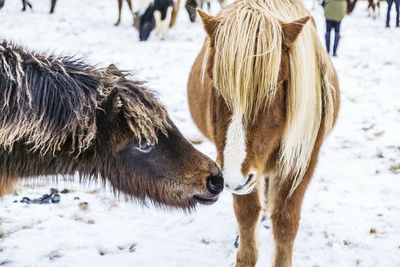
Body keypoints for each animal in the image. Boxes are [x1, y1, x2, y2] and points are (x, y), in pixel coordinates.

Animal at [189, 1, 340, 266]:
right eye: (214, 83)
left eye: (272, 89)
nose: (232, 178)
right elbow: (247, 215)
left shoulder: (301, 162)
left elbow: (286, 222)